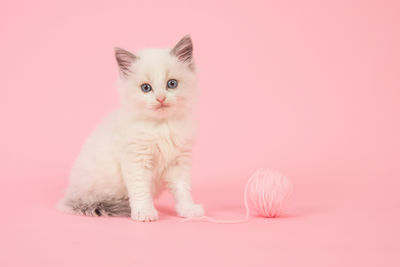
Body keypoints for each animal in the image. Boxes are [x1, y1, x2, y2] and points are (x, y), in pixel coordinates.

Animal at [57, 35, 205, 222]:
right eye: (146, 88)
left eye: (172, 84)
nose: (161, 99)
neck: (161, 126)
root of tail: (70, 196)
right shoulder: (136, 159)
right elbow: (140, 190)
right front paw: (144, 212)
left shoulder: (180, 161)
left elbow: (182, 189)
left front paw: (188, 209)